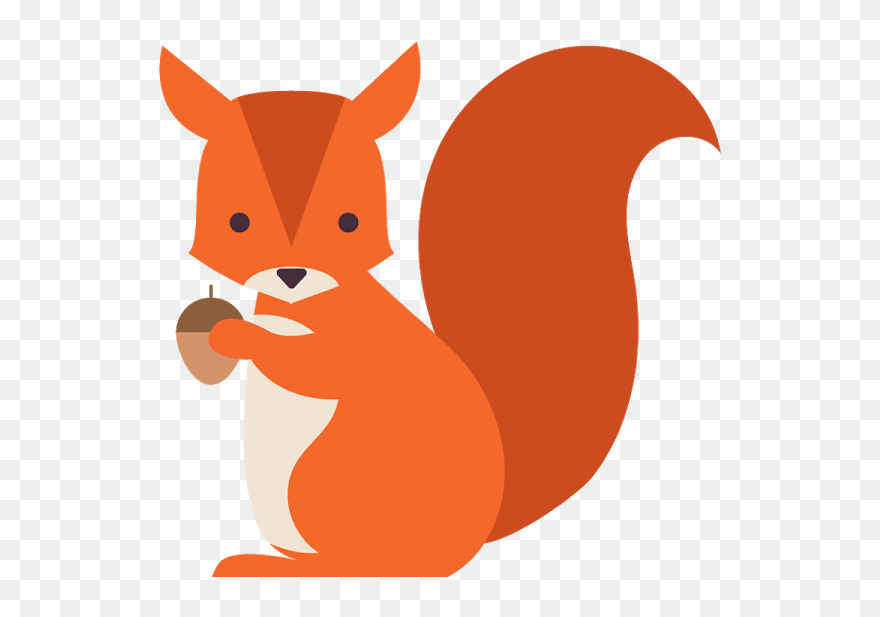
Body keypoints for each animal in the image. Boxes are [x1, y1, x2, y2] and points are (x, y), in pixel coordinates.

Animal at [160, 42, 719, 577]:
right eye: (236, 222)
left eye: (349, 222)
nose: (290, 273)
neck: (299, 305)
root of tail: (468, 545)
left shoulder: (355, 339)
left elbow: (312, 368)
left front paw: (234, 336)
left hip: (323, 481)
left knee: (372, 563)